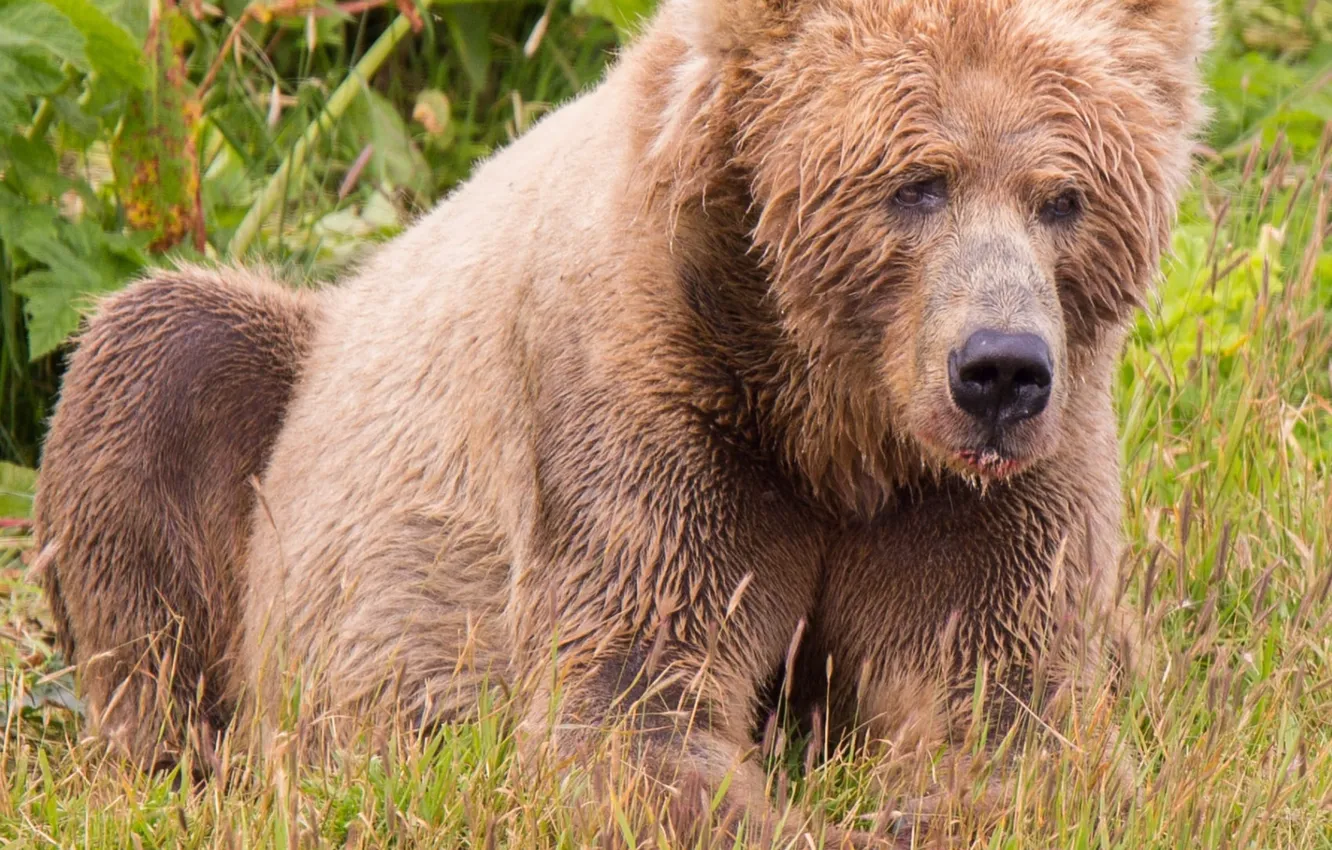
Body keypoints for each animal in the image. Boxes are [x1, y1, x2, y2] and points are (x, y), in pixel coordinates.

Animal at [32, 0, 1210, 844]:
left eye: (1064, 197)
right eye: (917, 184)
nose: (1000, 370)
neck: (831, 424)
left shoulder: (986, 496)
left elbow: (1012, 707)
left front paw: (926, 804)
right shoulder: (648, 412)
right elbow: (630, 713)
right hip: (278, 413)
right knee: (156, 362)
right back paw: (195, 761)